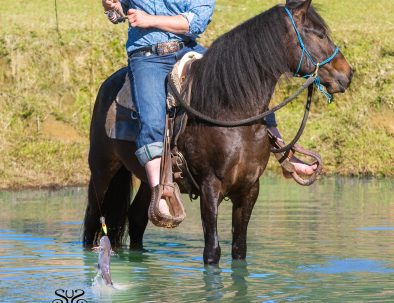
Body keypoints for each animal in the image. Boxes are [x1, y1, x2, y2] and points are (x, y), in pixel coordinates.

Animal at [84, 0, 354, 264]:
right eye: (319, 34)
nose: (348, 73)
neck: (231, 113)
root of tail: (108, 84)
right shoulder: (209, 187)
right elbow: (212, 251)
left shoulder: (249, 188)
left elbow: (239, 249)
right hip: (102, 168)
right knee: (91, 221)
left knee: (138, 219)